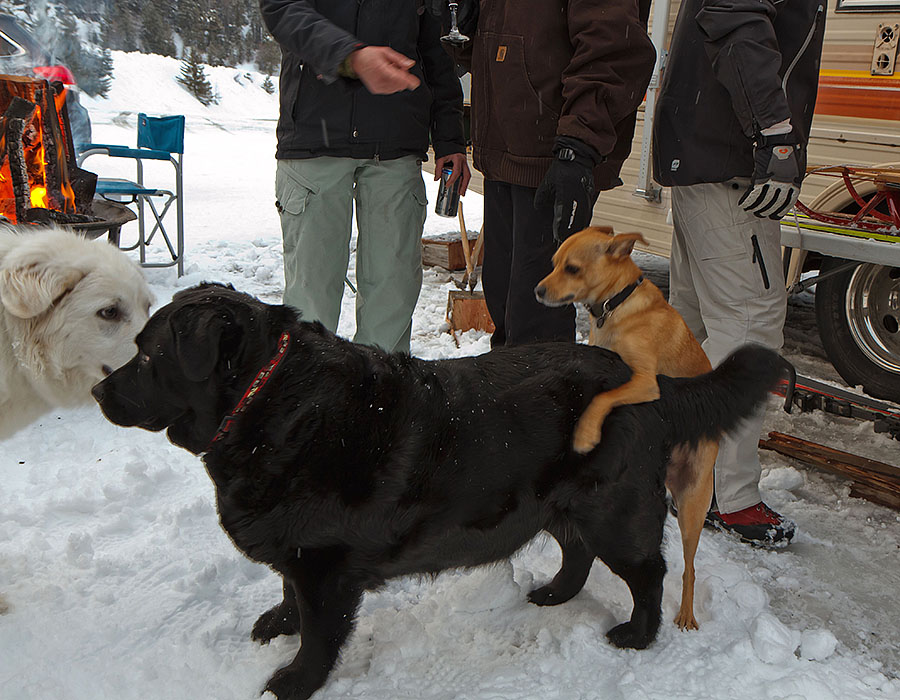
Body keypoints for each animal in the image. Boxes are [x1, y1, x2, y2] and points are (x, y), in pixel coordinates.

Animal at [88, 282, 784, 696]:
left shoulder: (325, 567)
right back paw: (555, 594)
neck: (269, 400)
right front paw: (277, 623)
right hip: (558, 503)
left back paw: (638, 635)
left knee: (649, 572)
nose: (96, 390)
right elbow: (286, 591)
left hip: (614, 509)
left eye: (148, 355)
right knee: (577, 553)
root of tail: (647, 382)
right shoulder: (297, 549)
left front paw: (294, 680)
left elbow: (318, 634)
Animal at [536, 227, 716, 632]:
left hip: (694, 504)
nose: (537, 290)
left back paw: (686, 614)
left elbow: (603, 400)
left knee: (690, 568)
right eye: (554, 263)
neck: (617, 307)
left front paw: (585, 434)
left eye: (572, 268)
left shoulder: (645, 383)